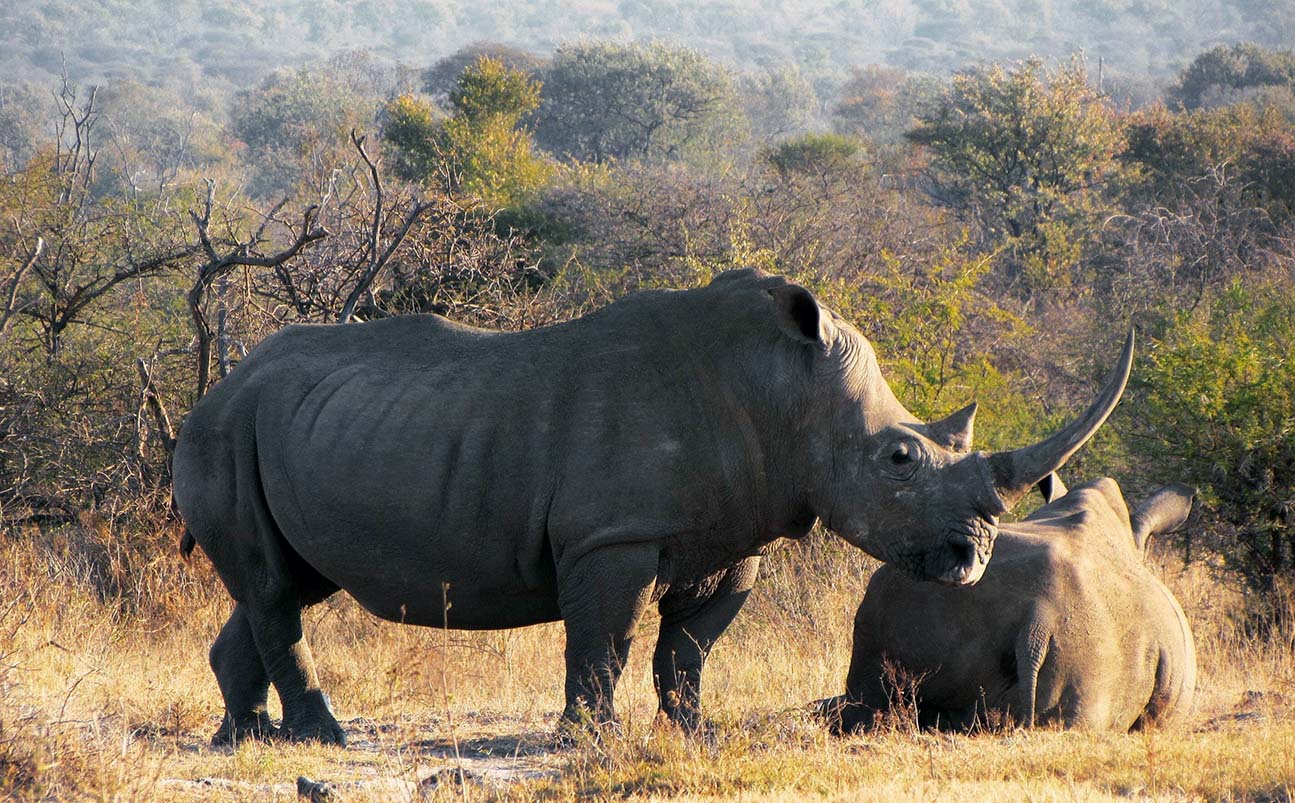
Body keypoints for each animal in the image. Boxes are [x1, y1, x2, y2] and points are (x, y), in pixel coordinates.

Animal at [174, 269, 1134, 746]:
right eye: (899, 459)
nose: (971, 555)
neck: (787, 392)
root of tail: (217, 385)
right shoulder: (612, 537)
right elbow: (604, 640)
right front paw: (587, 740)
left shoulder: (740, 535)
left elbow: (687, 650)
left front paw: (694, 733)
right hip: (222, 430)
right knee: (274, 590)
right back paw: (322, 740)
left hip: (300, 425)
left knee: (286, 584)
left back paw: (243, 737)